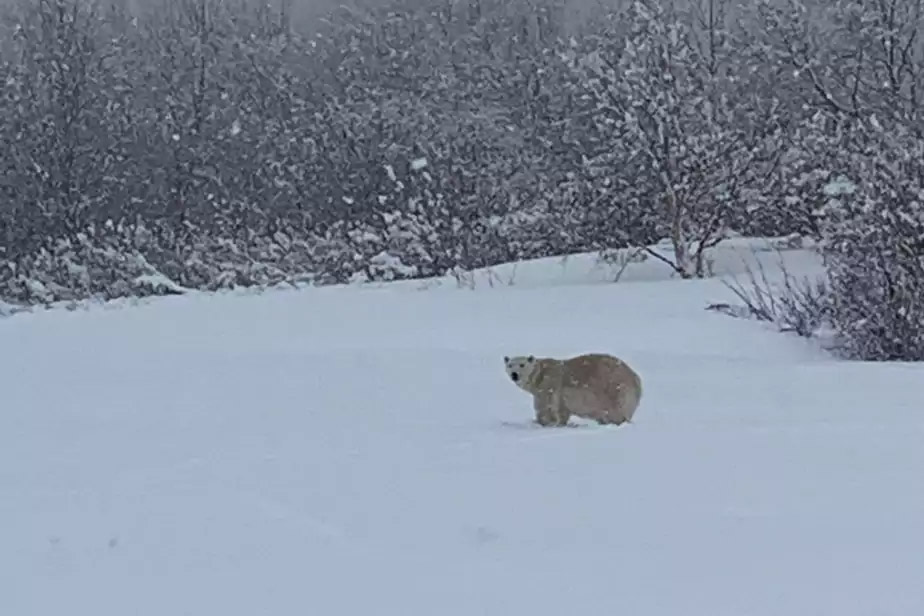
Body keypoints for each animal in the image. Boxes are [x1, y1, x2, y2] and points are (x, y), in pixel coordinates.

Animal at [506, 352, 644, 428]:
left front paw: (542, 422)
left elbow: (546, 407)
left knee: (615, 412)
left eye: (522, 364)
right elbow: (562, 411)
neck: (540, 375)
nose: (514, 374)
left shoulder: (548, 384)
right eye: (510, 365)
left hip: (614, 390)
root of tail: (636, 379)